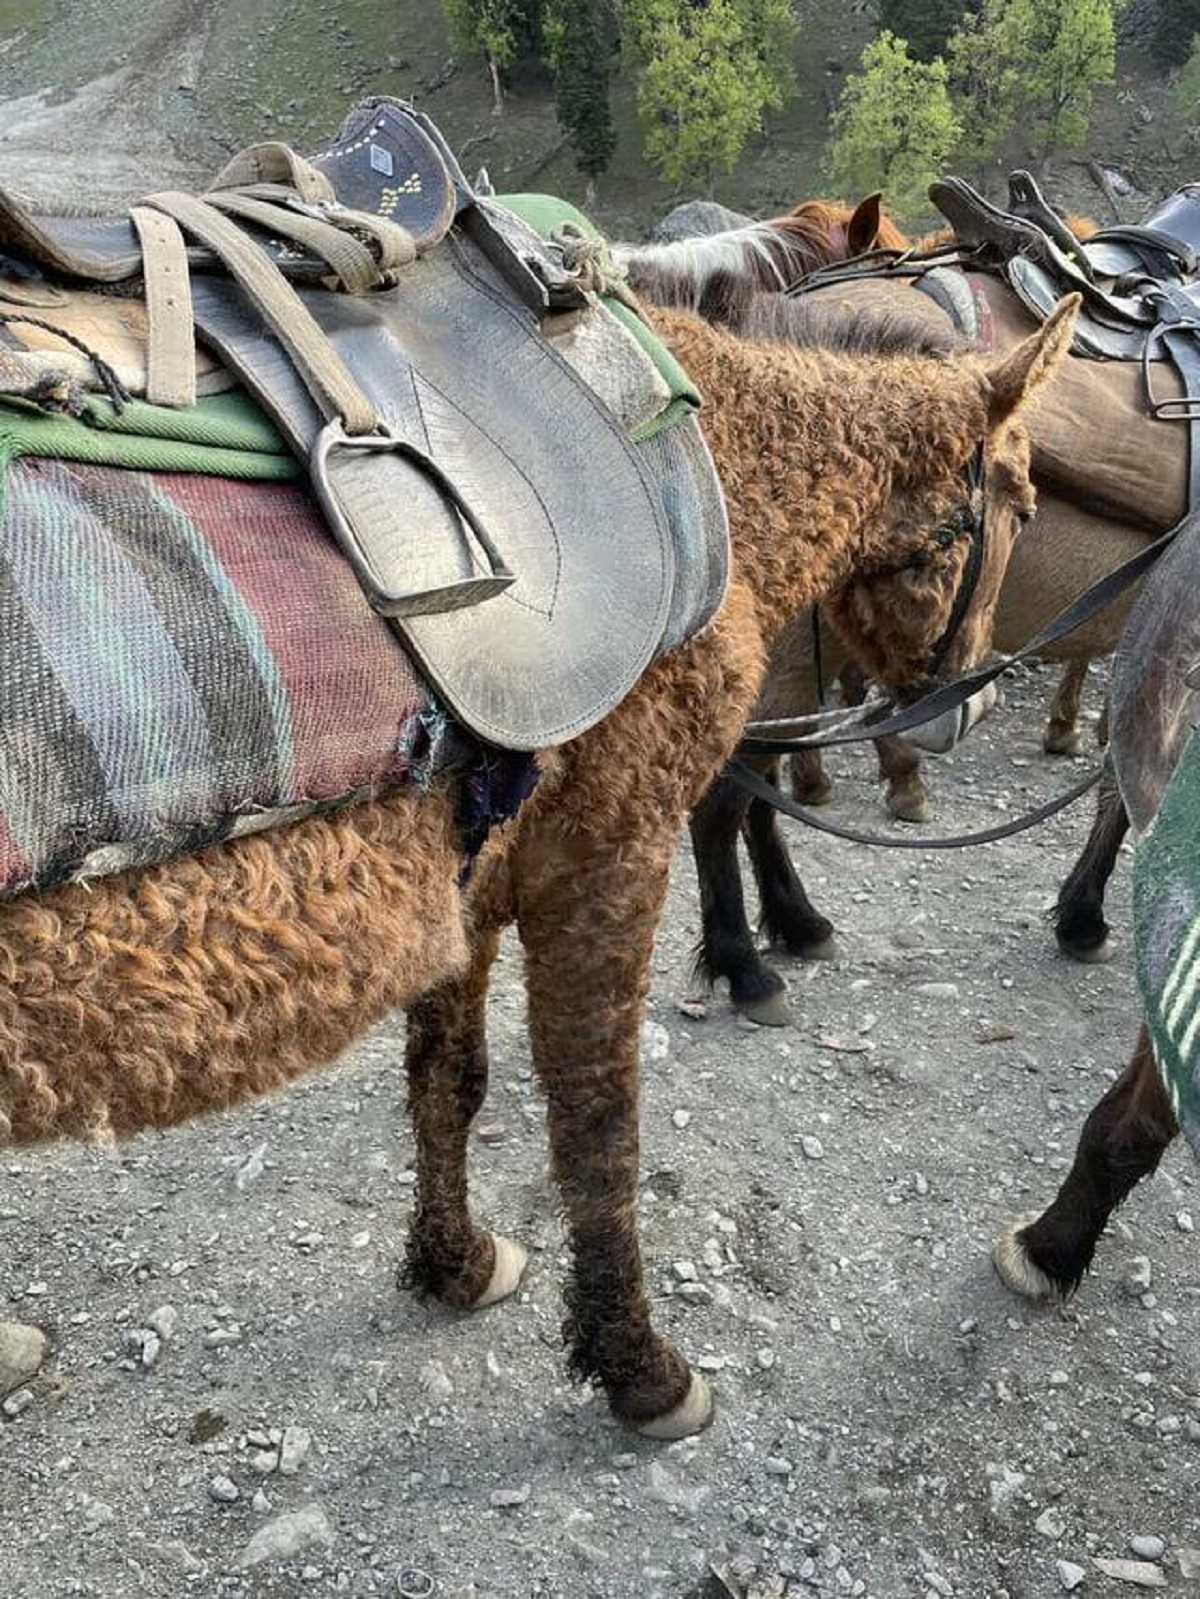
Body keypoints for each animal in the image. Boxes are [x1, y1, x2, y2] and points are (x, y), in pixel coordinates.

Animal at [0, 287, 1081, 1439]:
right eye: (1022, 504)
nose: (969, 707)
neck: (731, 465)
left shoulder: (473, 884)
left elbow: (450, 1081)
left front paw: (453, 1264)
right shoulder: (608, 857)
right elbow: (596, 1123)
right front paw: (639, 1367)